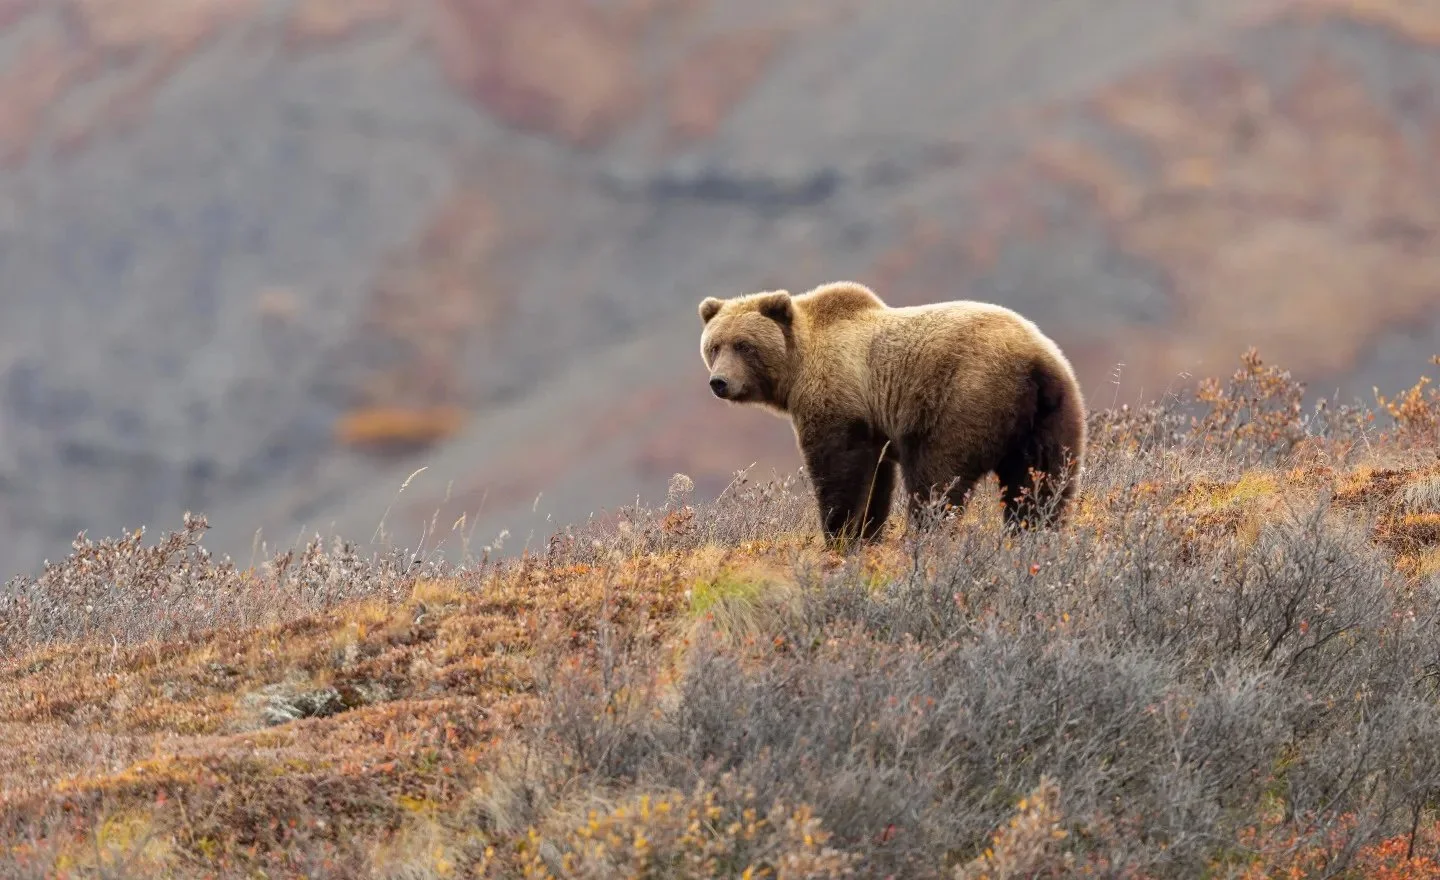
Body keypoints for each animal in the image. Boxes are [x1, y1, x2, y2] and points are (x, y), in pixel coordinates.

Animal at [698, 280, 1086, 548]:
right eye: (714, 346)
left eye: (744, 345)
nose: (719, 382)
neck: (799, 366)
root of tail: (1033, 361)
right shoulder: (874, 425)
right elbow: (876, 481)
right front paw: (866, 534)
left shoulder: (839, 399)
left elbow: (839, 470)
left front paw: (839, 535)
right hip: (1050, 415)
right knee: (1043, 481)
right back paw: (1033, 533)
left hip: (963, 398)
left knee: (936, 478)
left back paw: (927, 535)